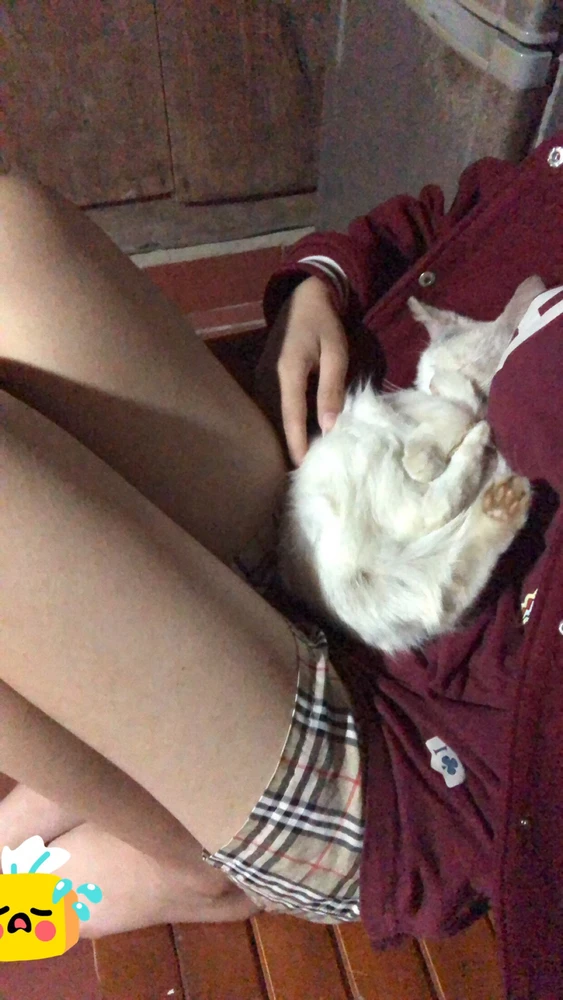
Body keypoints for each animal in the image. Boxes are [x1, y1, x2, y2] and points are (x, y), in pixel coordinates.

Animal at [279, 275, 545, 655]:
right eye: (423, 374)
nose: (432, 383)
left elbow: (460, 408)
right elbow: (457, 412)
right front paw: (438, 439)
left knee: (450, 583)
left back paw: (500, 503)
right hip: (370, 457)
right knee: (424, 515)